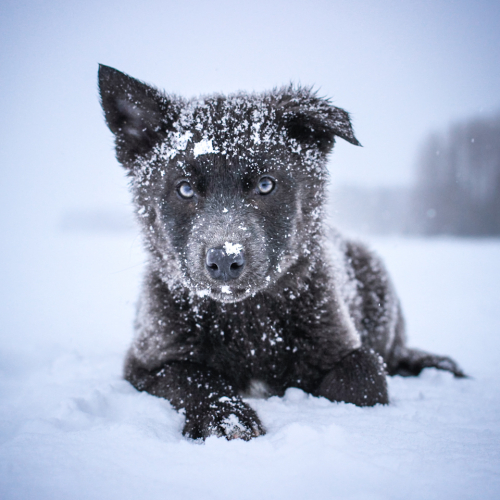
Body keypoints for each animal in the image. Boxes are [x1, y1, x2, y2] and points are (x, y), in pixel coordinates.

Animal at [99, 64, 466, 440]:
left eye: (265, 184)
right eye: (185, 189)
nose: (225, 259)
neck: (249, 322)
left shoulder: (339, 341)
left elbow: (364, 376)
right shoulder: (148, 360)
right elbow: (193, 378)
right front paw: (227, 420)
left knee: (392, 355)